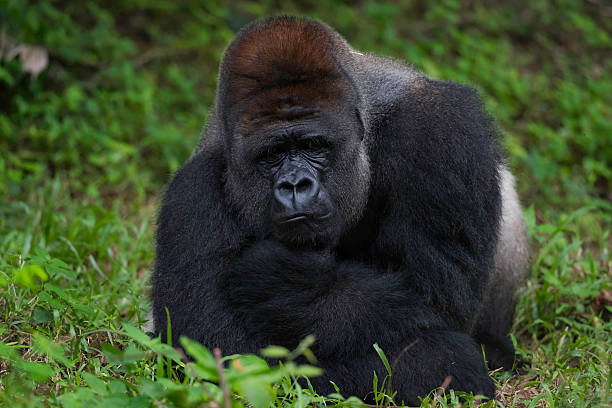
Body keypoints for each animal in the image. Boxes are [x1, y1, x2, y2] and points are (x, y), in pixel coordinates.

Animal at [152, 16, 524, 404]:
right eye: (272, 154)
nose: (295, 185)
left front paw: (297, 287)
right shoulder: (192, 191)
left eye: (315, 145)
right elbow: (219, 348)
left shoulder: (442, 127)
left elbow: (438, 299)